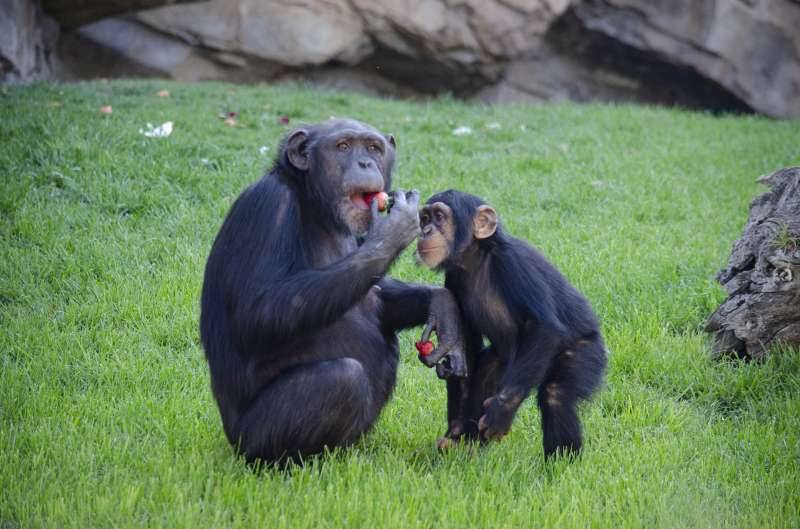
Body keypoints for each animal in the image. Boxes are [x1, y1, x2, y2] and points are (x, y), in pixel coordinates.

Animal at [200, 118, 462, 462]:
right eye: (344, 146)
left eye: (373, 148)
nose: (365, 163)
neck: (317, 207)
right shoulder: (267, 206)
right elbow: (257, 311)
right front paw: (392, 229)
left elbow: (377, 297)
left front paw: (443, 305)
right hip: (249, 439)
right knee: (343, 378)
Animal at [418, 191, 608, 458]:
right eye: (424, 218)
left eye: (439, 216)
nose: (425, 230)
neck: (477, 259)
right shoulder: (453, 279)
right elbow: (466, 349)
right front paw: (456, 432)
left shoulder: (514, 264)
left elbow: (544, 326)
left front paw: (501, 412)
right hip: (507, 364)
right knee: (485, 372)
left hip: (587, 350)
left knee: (556, 394)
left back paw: (560, 463)